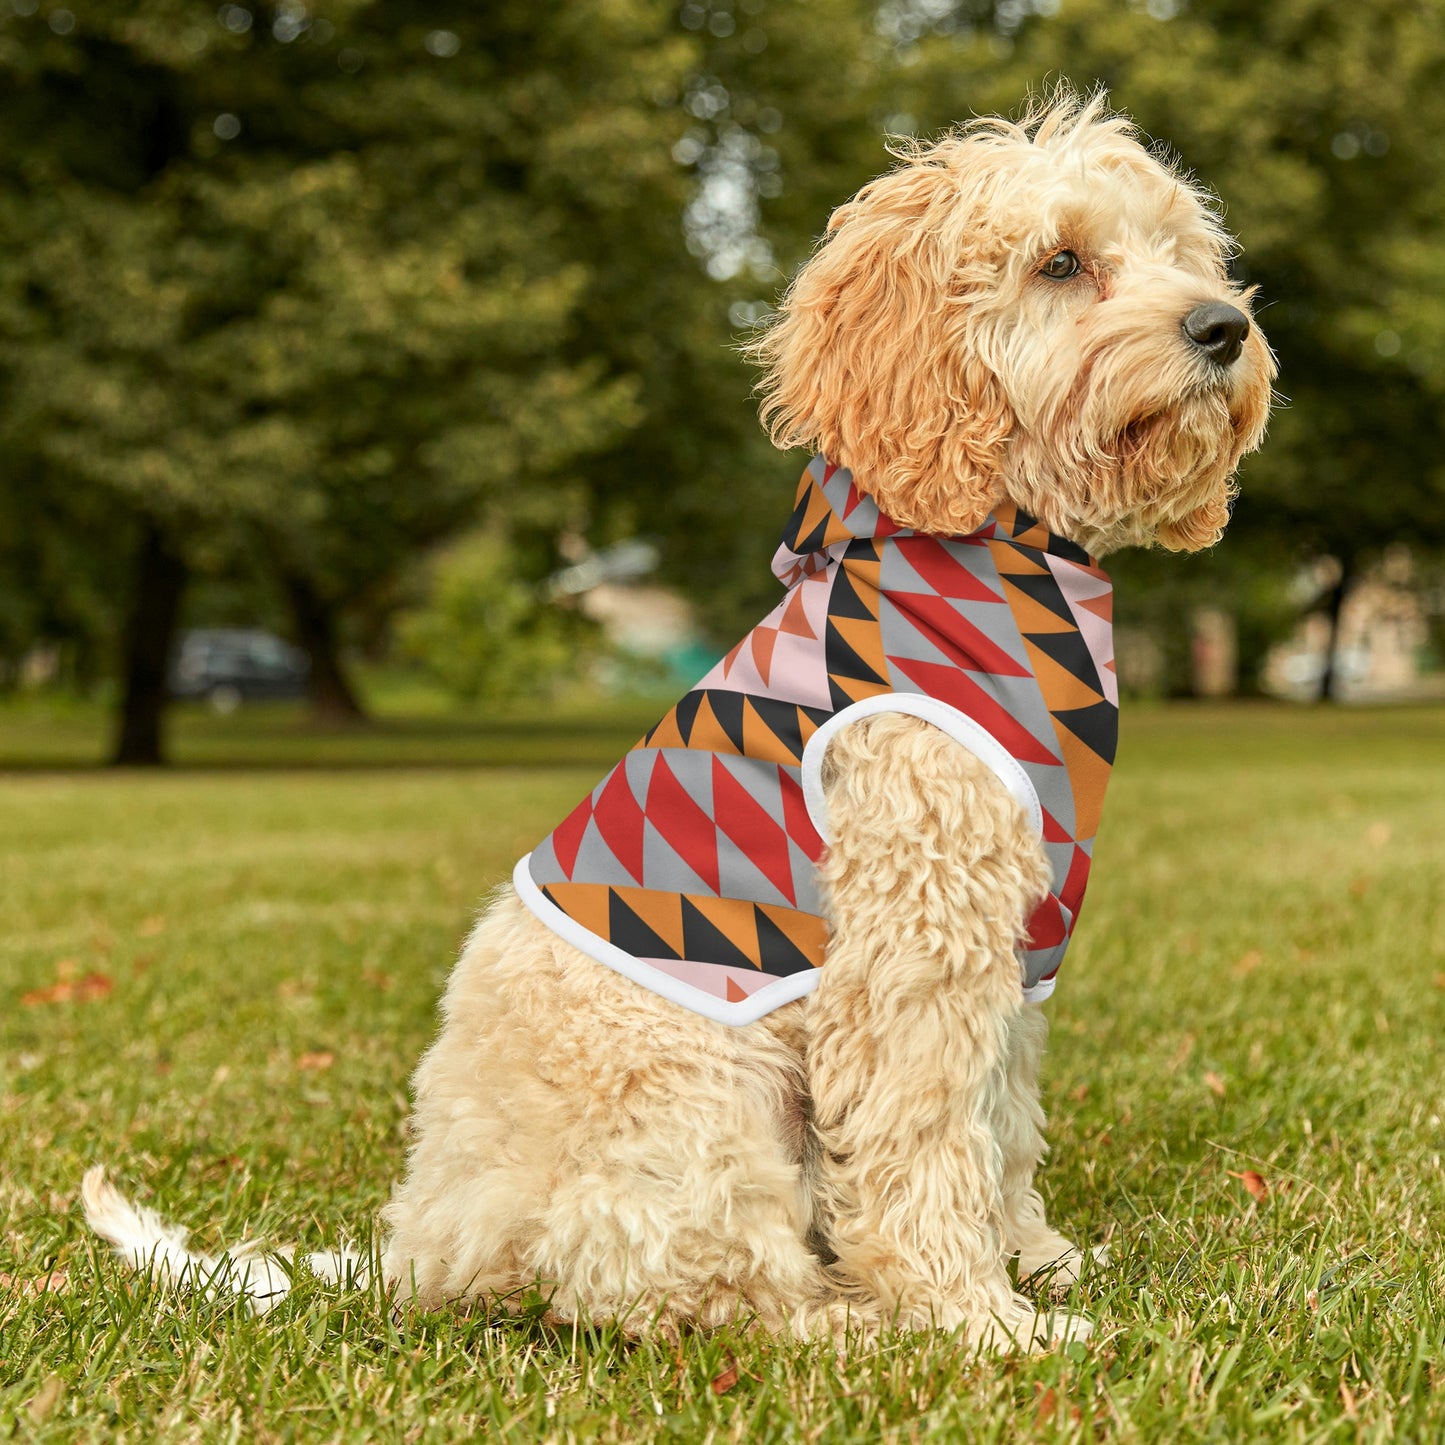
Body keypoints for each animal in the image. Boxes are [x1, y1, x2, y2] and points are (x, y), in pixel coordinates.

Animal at [84, 93, 1271, 1352]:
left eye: (1180, 252)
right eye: (1060, 262)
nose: (1222, 327)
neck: (995, 549)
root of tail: (423, 1245)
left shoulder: (1009, 946)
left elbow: (999, 1125)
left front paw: (1034, 1259)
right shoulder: (910, 944)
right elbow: (924, 1143)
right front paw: (976, 1318)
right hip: (704, 1100)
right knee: (698, 1290)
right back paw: (851, 1322)